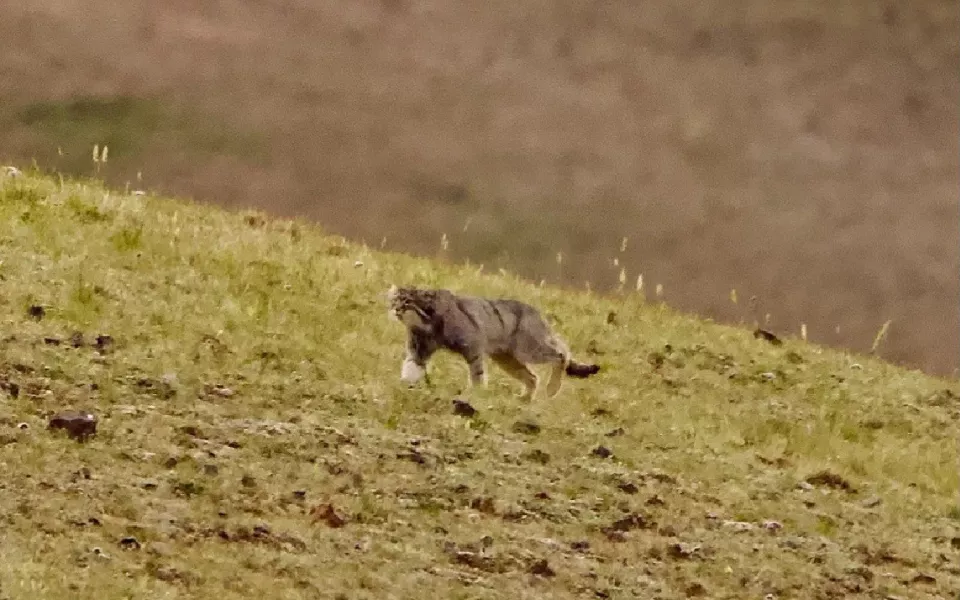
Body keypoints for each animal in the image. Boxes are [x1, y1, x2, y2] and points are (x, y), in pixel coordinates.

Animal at [384, 284, 600, 398]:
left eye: (407, 302)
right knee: (532, 376)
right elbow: (411, 367)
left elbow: (477, 373)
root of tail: (537, 313)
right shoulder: (418, 349)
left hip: (528, 348)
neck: (428, 324)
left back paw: (552, 388)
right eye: (394, 301)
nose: (395, 310)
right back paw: (525, 399)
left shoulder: (473, 346)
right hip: (506, 358)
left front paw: (476, 393)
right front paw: (405, 384)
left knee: (562, 351)